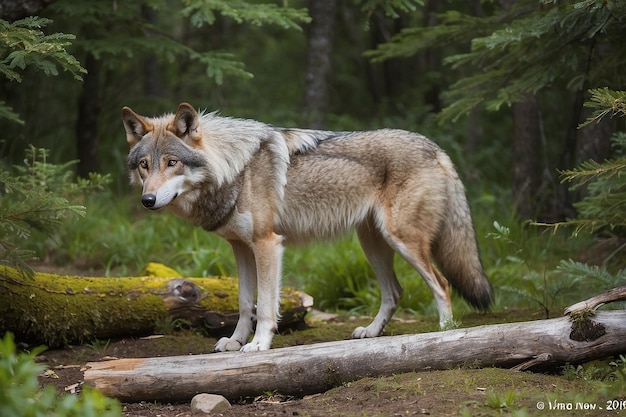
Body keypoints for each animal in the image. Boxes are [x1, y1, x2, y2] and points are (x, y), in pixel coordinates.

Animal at [123, 101, 492, 352]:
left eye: (172, 163)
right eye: (144, 166)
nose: (148, 200)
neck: (234, 170)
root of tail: (435, 147)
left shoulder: (268, 244)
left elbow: (266, 305)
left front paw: (258, 345)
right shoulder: (241, 248)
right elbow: (244, 304)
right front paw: (235, 341)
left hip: (402, 241)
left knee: (442, 284)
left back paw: (446, 330)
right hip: (373, 245)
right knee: (395, 292)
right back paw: (371, 332)